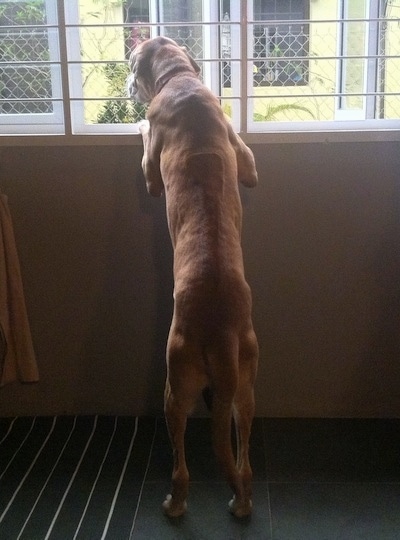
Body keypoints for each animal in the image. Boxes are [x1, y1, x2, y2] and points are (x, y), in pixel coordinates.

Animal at [128, 35, 260, 516]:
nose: (128, 85)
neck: (180, 80)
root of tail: (219, 330)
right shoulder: (247, 160)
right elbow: (250, 170)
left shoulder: (151, 173)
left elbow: (148, 163)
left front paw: (138, 126)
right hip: (245, 385)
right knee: (242, 461)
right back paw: (241, 501)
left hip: (175, 384)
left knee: (181, 462)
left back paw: (175, 503)